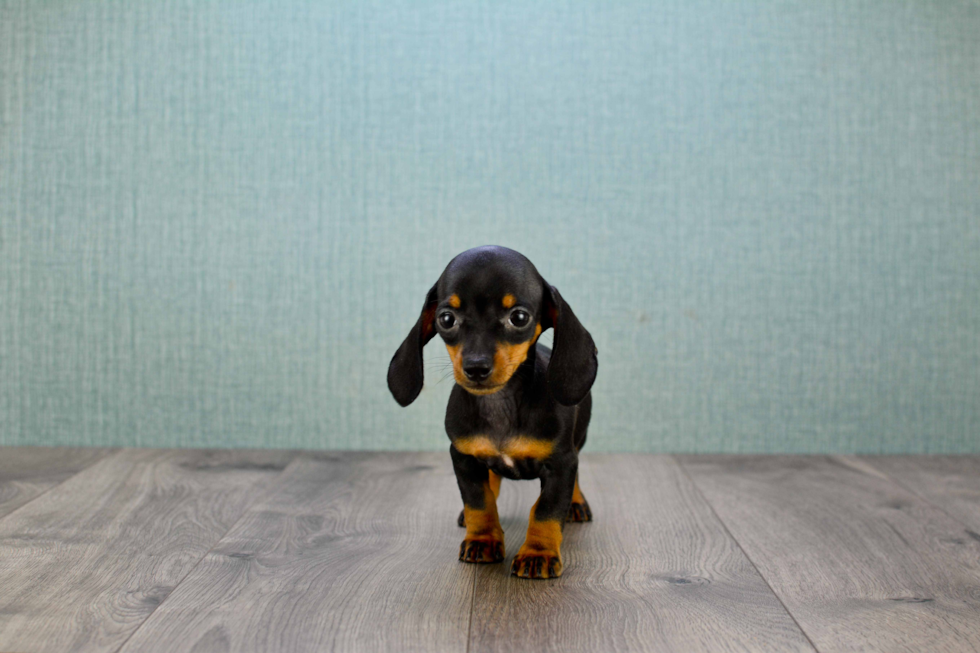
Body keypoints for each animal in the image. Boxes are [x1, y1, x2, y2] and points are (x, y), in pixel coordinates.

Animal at [386, 246, 592, 580]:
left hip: (578, 441)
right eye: (446, 318)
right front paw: (483, 540)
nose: (476, 367)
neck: (500, 404)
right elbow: (479, 502)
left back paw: (576, 502)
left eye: (518, 317)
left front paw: (539, 553)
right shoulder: (463, 457)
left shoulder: (561, 463)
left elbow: (546, 510)